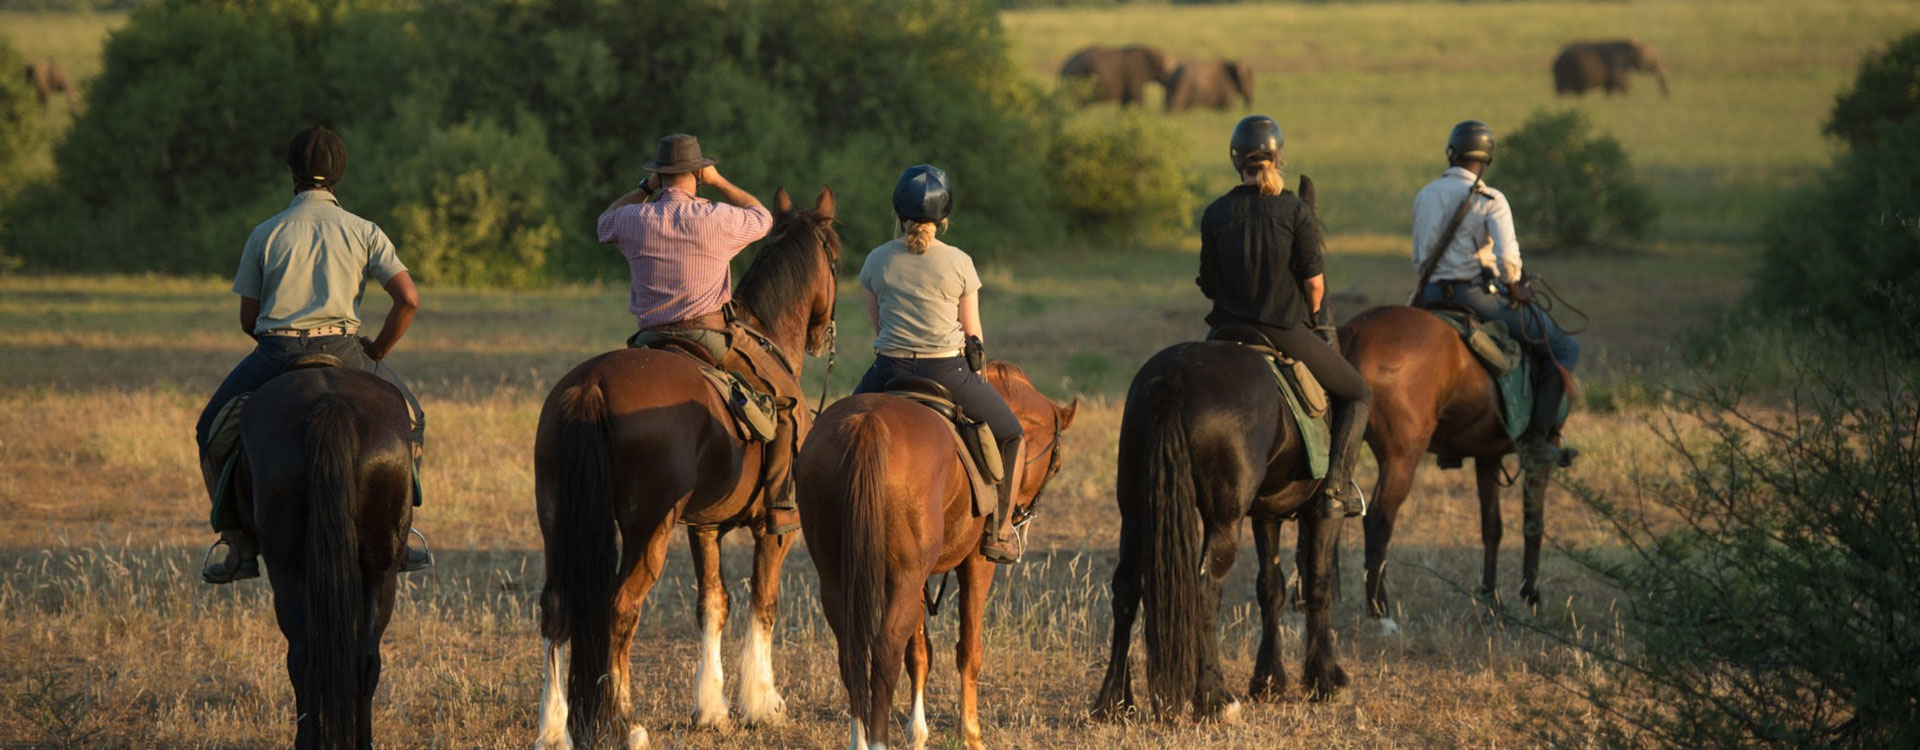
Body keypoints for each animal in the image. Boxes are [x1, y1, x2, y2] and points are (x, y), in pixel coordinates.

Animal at [530, 187, 840, 749]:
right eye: (836, 258)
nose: (820, 335)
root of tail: (591, 386)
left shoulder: (705, 527)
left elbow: (712, 605)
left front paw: (711, 708)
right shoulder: (774, 530)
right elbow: (764, 601)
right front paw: (762, 703)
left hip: (556, 520)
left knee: (557, 606)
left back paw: (553, 727)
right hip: (647, 529)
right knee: (619, 608)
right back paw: (625, 722)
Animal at [798, 361, 1076, 750]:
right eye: (1057, 465)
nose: (1023, 516)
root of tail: (867, 425)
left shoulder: (917, 578)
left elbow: (919, 652)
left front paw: (918, 732)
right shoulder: (976, 563)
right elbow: (968, 650)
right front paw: (970, 734)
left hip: (838, 578)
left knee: (852, 650)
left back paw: (860, 737)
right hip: (902, 576)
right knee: (885, 651)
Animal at [1090, 340, 1347, 722]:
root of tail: (1173, 376)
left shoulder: (1264, 515)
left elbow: (1270, 587)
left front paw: (1268, 679)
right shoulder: (1323, 513)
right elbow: (1317, 586)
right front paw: (1325, 679)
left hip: (1134, 511)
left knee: (1126, 588)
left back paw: (1114, 702)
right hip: (1224, 521)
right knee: (1204, 591)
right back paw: (1214, 698)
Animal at [1340, 305, 1573, 634]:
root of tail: (1357, 331)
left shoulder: (1487, 456)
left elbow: (1492, 528)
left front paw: (1492, 601)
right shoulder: (1541, 455)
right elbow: (1533, 523)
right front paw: (1531, 596)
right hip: (1401, 458)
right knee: (1378, 521)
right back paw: (1381, 614)